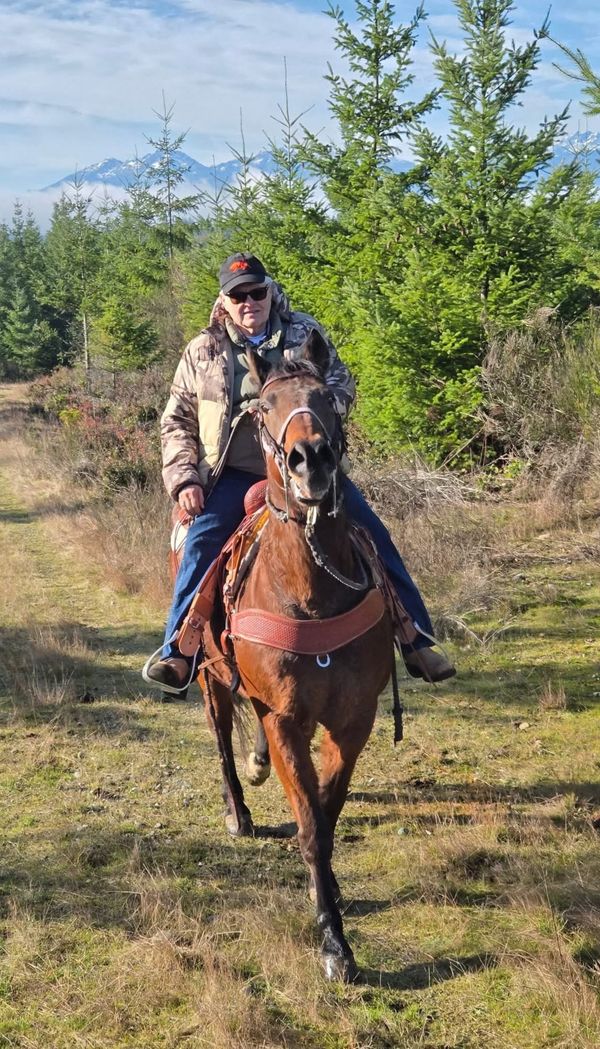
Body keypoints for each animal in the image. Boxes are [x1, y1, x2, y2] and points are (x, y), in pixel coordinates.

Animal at [200, 330, 395, 982]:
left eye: (329, 397)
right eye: (263, 406)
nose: (311, 459)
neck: (311, 593)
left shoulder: (353, 719)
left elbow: (326, 816)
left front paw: (327, 899)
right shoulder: (284, 718)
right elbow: (309, 825)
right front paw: (334, 941)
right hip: (210, 681)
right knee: (222, 742)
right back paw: (238, 810)